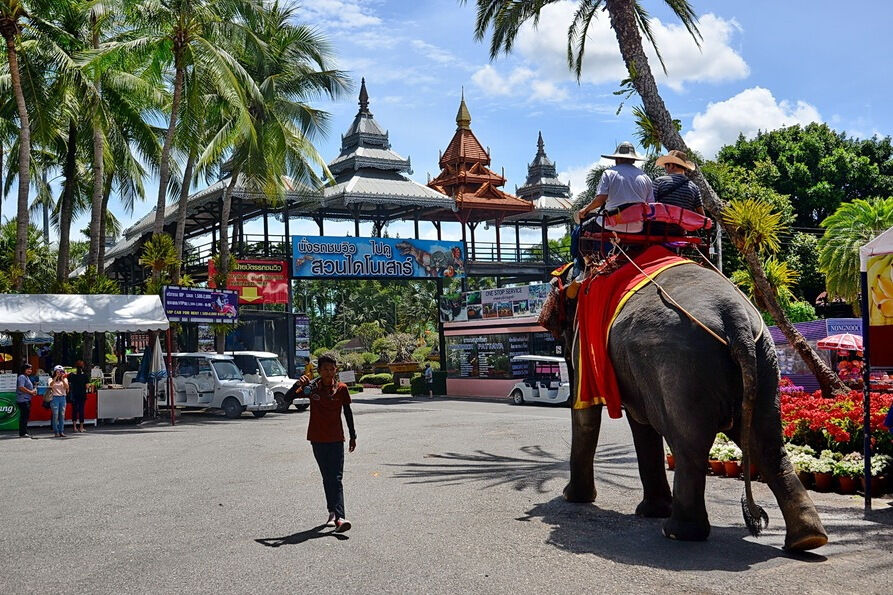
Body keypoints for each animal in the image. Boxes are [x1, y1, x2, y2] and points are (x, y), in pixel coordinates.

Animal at [556, 258, 828, 552]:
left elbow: (590, 415)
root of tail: (737, 320)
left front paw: (573, 497)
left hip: (681, 367)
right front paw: (651, 510)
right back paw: (808, 539)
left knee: (689, 445)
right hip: (765, 362)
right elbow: (640, 424)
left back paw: (678, 532)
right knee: (768, 443)